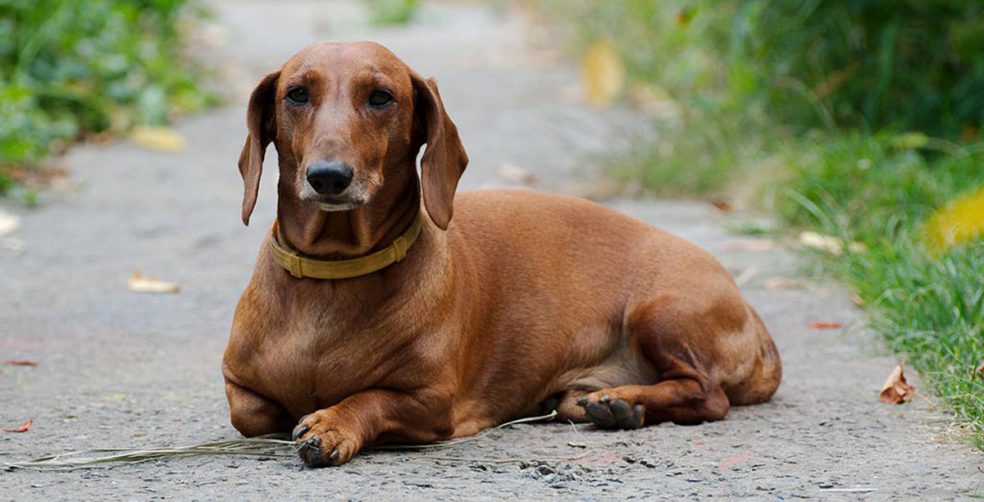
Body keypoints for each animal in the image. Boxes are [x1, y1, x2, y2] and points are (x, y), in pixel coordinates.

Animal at [223, 41, 784, 468]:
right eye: (297, 94)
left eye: (381, 97)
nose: (329, 177)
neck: (335, 274)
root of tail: (750, 311)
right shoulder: (238, 387)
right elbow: (251, 414)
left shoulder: (430, 402)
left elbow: (371, 398)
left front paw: (333, 423)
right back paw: (611, 403)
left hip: (661, 312)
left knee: (708, 394)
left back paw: (623, 402)